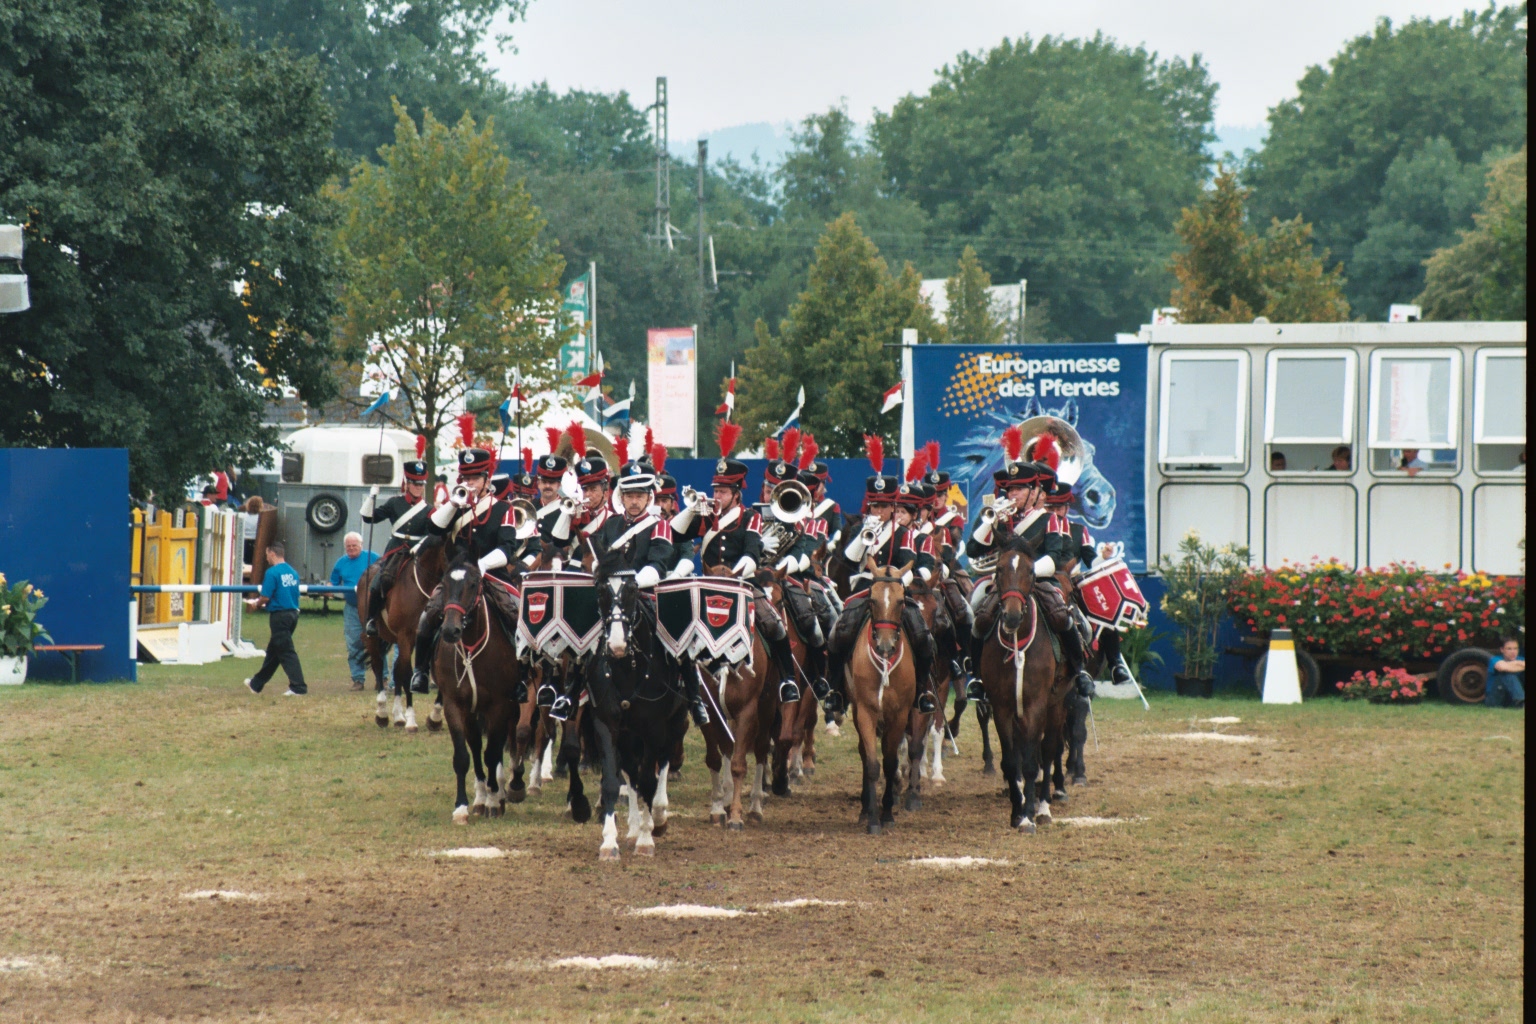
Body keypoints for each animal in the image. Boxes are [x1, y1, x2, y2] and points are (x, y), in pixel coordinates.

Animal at [362, 540, 448, 733]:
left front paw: (435, 718)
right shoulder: (406, 637)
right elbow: (408, 674)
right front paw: (411, 720)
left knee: (396, 669)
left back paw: (398, 716)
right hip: (372, 637)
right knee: (379, 665)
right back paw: (383, 713)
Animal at [433, 555, 528, 829]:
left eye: (474, 584)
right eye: (444, 583)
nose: (450, 630)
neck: (471, 648)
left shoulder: (499, 705)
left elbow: (492, 753)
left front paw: (495, 802)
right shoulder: (455, 705)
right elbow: (464, 756)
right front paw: (462, 806)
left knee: (504, 742)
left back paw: (504, 790)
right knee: (476, 745)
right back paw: (481, 797)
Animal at [580, 561, 691, 865]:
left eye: (631, 589)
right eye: (600, 591)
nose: (617, 645)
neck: (626, 669)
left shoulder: (654, 728)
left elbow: (648, 779)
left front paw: (646, 838)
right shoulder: (605, 725)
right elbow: (612, 782)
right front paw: (609, 842)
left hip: (674, 722)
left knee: (661, 764)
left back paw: (658, 818)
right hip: (629, 735)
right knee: (631, 771)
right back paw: (632, 826)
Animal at [976, 537, 1062, 835]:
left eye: (1031, 572)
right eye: (999, 569)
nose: (1011, 617)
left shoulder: (1036, 705)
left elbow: (1031, 763)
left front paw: (1028, 816)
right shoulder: (1002, 707)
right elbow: (1012, 762)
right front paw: (1017, 813)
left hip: (1056, 705)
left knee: (1047, 752)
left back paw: (1043, 807)